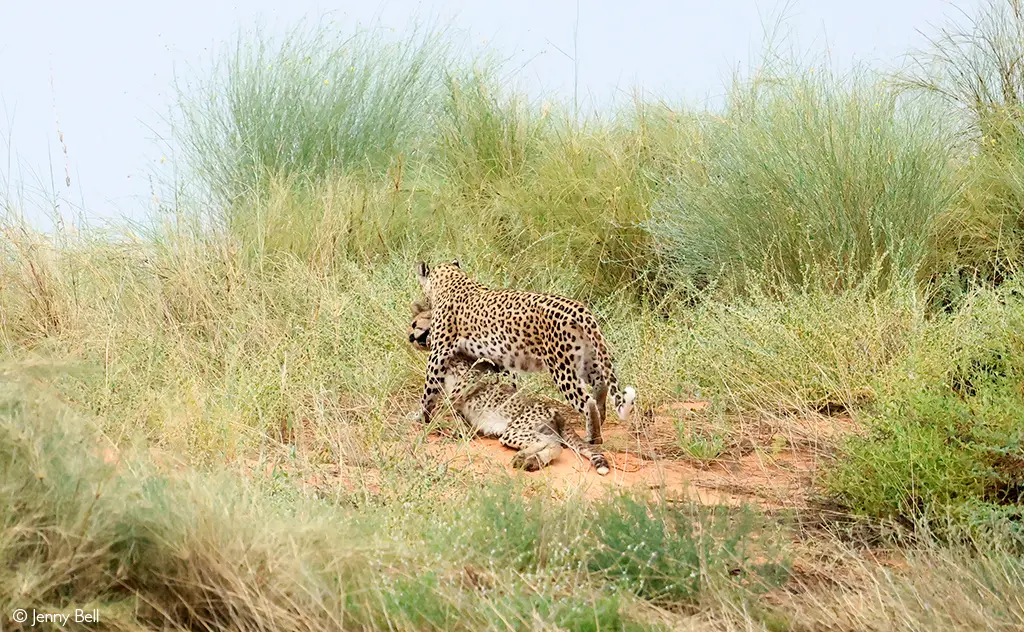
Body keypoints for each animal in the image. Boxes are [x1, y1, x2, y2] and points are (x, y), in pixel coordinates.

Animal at [408, 301, 610, 474]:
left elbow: (448, 399)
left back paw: (526, 458)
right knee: (555, 443)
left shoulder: (472, 375)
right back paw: (531, 460)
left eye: (415, 323)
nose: (410, 337)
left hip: (514, 430)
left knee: (554, 444)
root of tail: (556, 412)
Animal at [412, 259, 636, 445]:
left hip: (561, 367)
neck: (453, 281)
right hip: (585, 360)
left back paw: (593, 437)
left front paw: (420, 416)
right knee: (601, 384)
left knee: (587, 401)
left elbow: (429, 389)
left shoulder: (438, 353)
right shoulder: (497, 360)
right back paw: (602, 419)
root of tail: (580, 309)